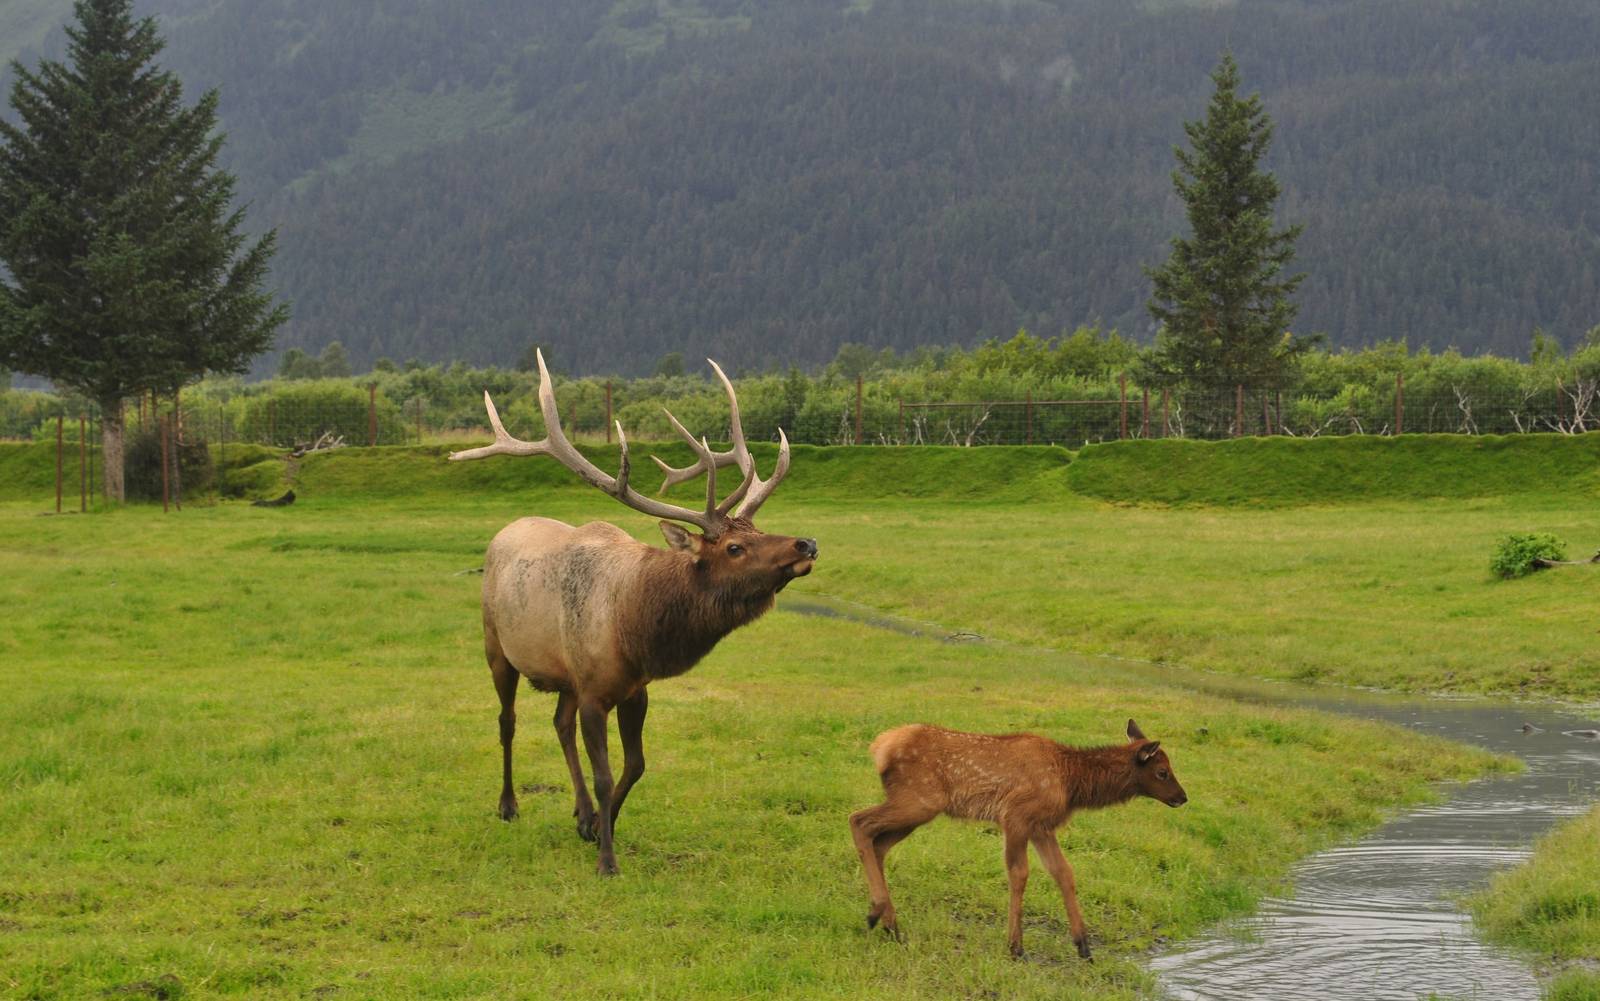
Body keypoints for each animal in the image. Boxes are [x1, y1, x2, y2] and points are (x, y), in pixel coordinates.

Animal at [450, 351, 817, 875]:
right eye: (734, 547)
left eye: (759, 529)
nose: (806, 543)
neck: (636, 626)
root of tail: (504, 531)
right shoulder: (594, 692)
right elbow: (606, 774)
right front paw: (607, 858)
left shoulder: (631, 689)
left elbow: (636, 765)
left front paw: (597, 826)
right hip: (496, 647)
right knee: (507, 720)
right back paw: (508, 805)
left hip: (564, 675)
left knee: (558, 725)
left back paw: (580, 811)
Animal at [849, 718, 1187, 959]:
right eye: (1162, 771)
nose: (1183, 797)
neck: (1071, 783)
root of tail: (880, 747)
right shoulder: (1016, 816)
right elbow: (1019, 874)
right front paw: (1015, 946)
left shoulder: (1042, 827)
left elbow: (1064, 873)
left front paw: (1084, 946)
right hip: (919, 800)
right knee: (859, 821)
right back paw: (876, 912)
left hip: (916, 807)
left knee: (878, 844)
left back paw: (891, 925)